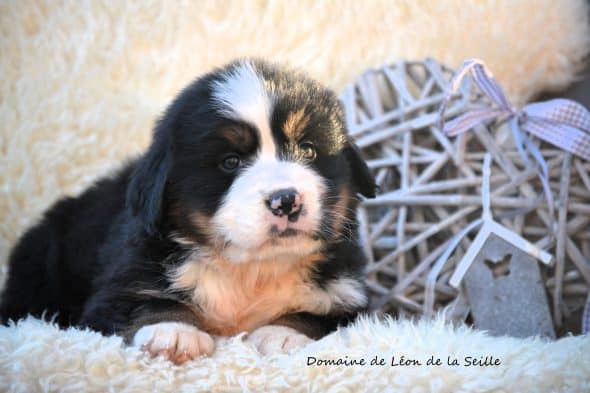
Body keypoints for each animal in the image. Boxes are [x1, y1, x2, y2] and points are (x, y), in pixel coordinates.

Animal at [0, 59, 376, 364]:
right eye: (230, 161)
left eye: (309, 151)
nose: (285, 200)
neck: (249, 270)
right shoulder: (121, 282)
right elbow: (146, 301)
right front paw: (174, 332)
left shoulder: (349, 294)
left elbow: (321, 314)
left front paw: (281, 334)